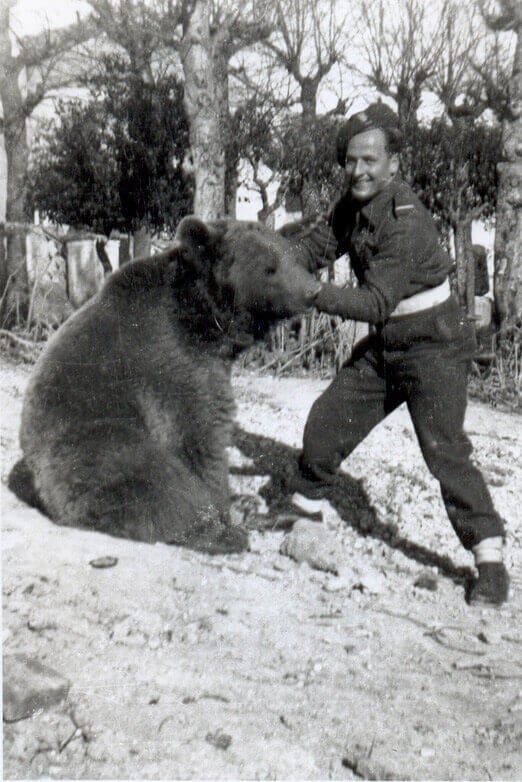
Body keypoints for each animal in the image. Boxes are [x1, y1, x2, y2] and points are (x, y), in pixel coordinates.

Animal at [8, 216, 321, 554]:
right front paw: (221, 515)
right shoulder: (172, 363)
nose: (313, 290)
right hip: (90, 445)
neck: (204, 322)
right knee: (154, 478)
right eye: (270, 267)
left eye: (293, 257)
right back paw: (222, 532)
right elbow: (199, 436)